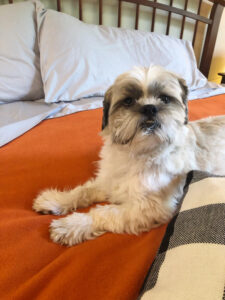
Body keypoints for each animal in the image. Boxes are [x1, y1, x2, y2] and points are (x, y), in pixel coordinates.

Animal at [32, 64, 224, 245]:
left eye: (164, 99)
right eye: (128, 101)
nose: (149, 108)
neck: (137, 154)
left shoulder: (149, 208)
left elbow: (104, 212)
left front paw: (72, 224)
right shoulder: (108, 181)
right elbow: (83, 191)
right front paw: (57, 200)